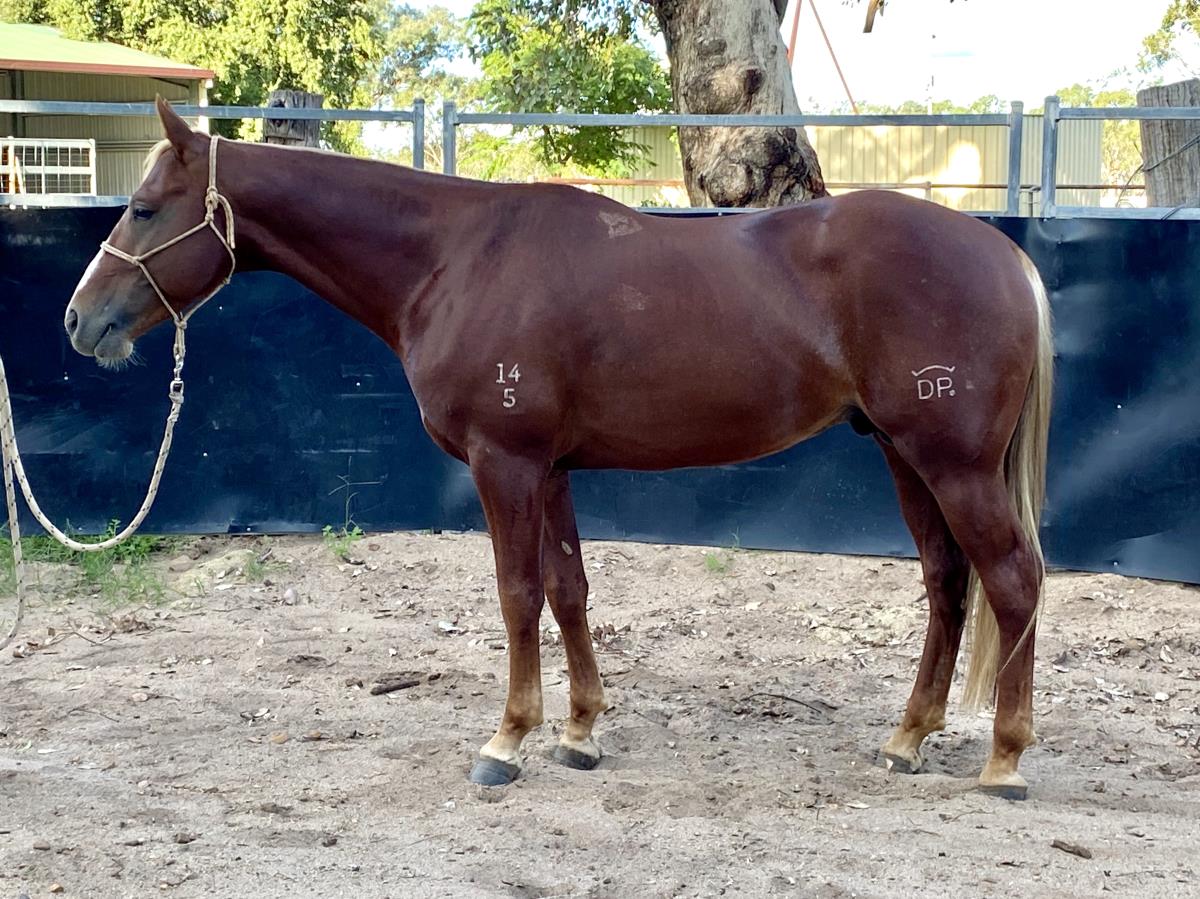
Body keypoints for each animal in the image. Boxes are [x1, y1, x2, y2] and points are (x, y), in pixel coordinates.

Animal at [64, 98, 1052, 799]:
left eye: (145, 208)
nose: (79, 320)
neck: (456, 259)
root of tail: (1006, 257)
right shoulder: (553, 470)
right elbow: (571, 590)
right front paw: (581, 731)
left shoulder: (505, 463)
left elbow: (517, 596)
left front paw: (507, 739)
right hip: (903, 454)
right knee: (948, 583)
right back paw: (908, 738)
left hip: (952, 463)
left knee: (1011, 580)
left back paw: (1005, 759)